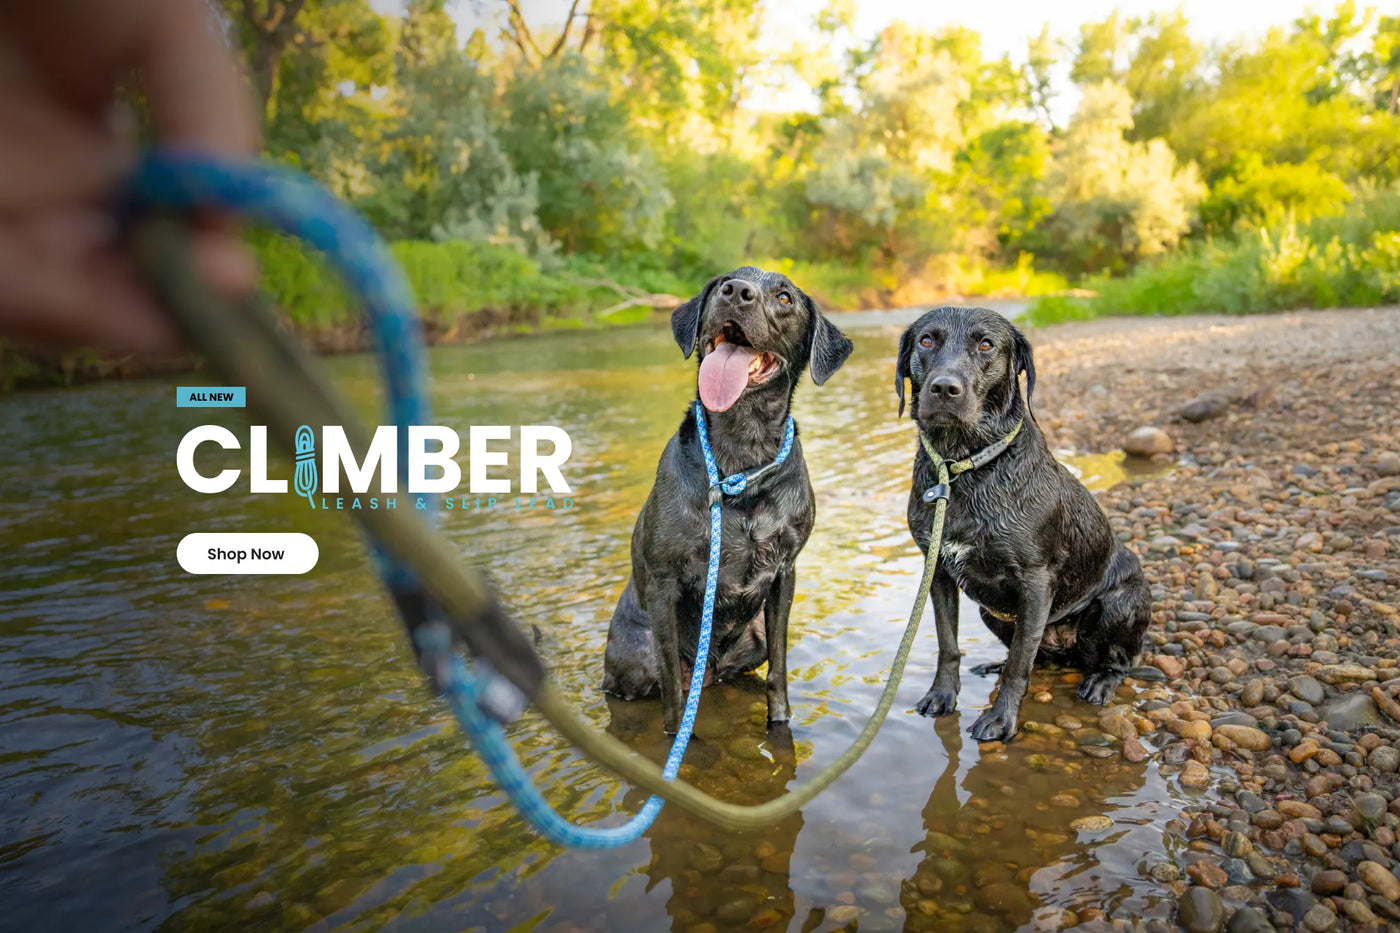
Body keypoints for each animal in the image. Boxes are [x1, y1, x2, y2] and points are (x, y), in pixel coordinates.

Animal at [602, 264, 851, 728]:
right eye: (726, 280)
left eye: (785, 297)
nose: (736, 292)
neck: (742, 459)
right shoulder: (663, 588)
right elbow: (673, 695)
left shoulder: (784, 574)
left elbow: (779, 669)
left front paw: (780, 722)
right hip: (636, 655)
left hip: (751, 640)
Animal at [896, 305, 1148, 739]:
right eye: (926, 340)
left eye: (985, 344)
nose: (944, 388)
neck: (964, 466)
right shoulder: (938, 571)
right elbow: (949, 643)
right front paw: (942, 695)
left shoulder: (1036, 582)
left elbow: (1020, 664)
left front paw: (1001, 719)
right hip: (993, 613)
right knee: (1037, 656)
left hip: (1121, 602)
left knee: (1117, 660)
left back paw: (1101, 680)